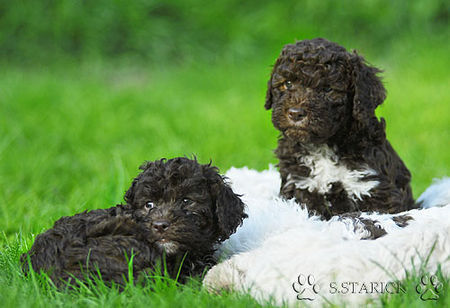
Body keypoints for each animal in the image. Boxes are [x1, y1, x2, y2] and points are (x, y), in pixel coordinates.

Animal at [266, 38, 416, 219]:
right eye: (287, 83)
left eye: (328, 89)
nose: (295, 113)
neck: (324, 146)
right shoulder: (299, 184)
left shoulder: (372, 186)